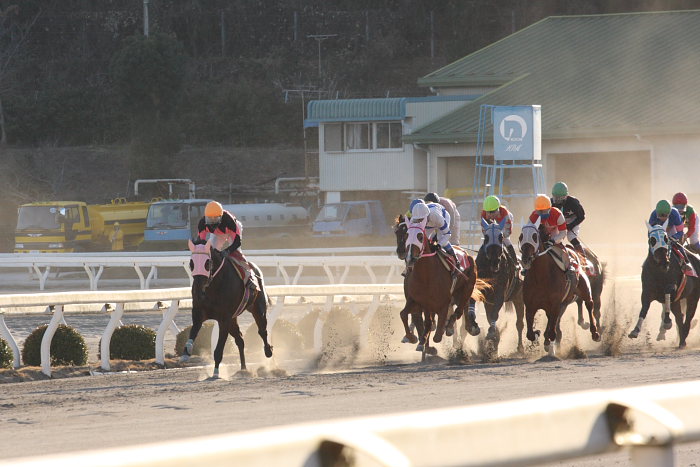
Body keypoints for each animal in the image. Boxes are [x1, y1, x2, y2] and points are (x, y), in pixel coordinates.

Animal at [180, 239, 274, 378]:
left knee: (262, 330)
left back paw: (268, 351)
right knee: (240, 340)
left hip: (258, 309)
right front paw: (186, 353)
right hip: (233, 319)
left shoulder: (224, 319)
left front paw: (216, 372)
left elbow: (219, 349)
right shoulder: (198, 312)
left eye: (207, 263)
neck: (213, 287)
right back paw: (243, 368)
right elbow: (193, 332)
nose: (198, 291)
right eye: (191, 263)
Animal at [394, 217, 486, 358]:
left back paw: (461, 328)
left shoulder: (442, 303)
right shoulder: (417, 301)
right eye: (400, 233)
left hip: (466, 289)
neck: (426, 275)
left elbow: (437, 333)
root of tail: (466, 253)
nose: (408, 256)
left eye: (420, 236)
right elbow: (405, 315)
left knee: (460, 310)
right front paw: (414, 339)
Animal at [476, 219, 524, 354]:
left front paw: (492, 334)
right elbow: (489, 316)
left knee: (519, 323)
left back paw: (520, 348)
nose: (494, 261)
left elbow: (494, 314)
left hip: (519, 298)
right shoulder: (487, 297)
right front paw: (494, 337)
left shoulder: (500, 294)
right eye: (486, 237)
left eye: (501, 237)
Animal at [516, 218, 600, 356]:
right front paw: (538, 334)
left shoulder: (555, 304)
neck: (541, 278)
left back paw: (595, 333)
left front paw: (548, 342)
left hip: (584, 288)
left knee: (589, 304)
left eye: (534, 237)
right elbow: (530, 334)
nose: (526, 259)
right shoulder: (530, 306)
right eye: (521, 236)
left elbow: (552, 332)